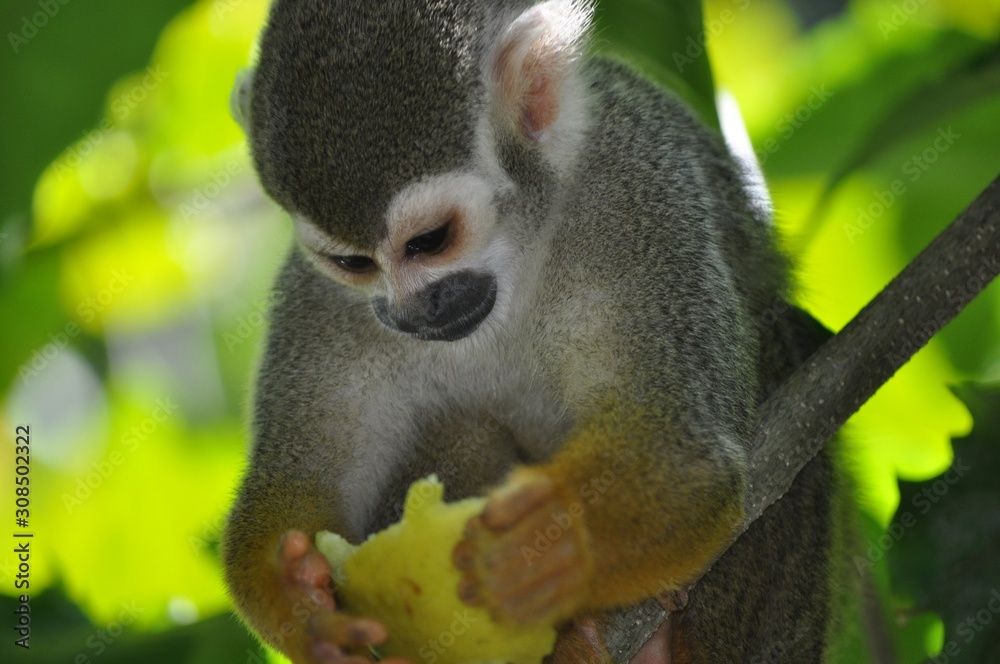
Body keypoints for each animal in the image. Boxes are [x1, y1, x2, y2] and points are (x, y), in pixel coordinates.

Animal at [221, 0, 850, 662]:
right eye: (352, 263)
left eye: (429, 241)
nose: (411, 312)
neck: (518, 254)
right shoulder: (317, 299)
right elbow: (302, 480)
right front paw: (306, 601)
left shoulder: (636, 191)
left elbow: (682, 459)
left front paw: (550, 547)